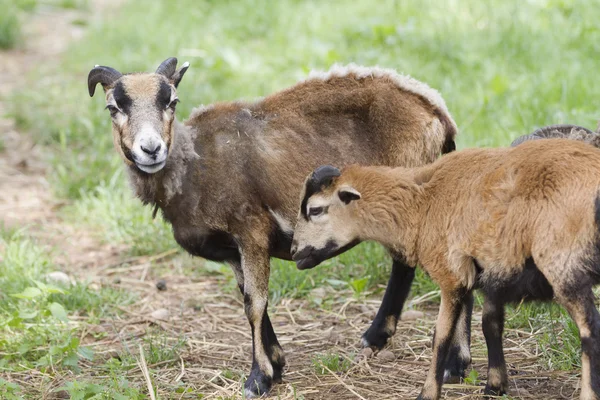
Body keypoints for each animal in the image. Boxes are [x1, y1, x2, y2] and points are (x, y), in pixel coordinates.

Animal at [88, 57, 460, 396]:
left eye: (172, 102)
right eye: (112, 107)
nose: (151, 149)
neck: (193, 163)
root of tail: (437, 109)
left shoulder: (250, 229)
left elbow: (254, 303)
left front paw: (258, 378)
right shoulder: (234, 250)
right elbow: (250, 298)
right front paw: (276, 363)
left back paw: (418, 351)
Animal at [290, 138, 600, 400]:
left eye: (315, 210)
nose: (294, 252)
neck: (419, 204)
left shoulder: (451, 275)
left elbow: (440, 338)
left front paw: (428, 392)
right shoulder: (488, 271)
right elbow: (490, 324)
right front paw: (494, 385)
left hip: (564, 263)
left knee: (590, 331)